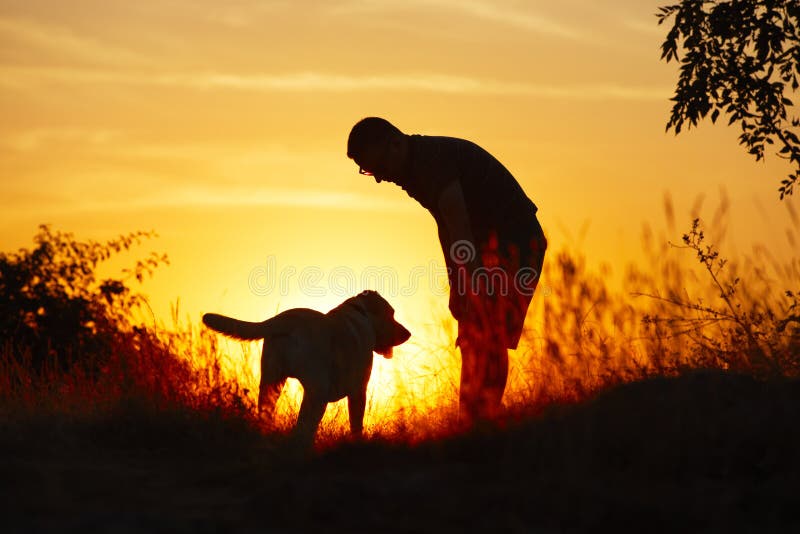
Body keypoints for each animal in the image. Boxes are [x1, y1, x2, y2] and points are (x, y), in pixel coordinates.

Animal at [203, 292, 410, 446]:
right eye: (391, 313)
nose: (408, 334)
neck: (361, 314)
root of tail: (288, 319)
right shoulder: (358, 391)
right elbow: (356, 425)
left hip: (271, 383)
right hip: (317, 392)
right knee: (303, 430)